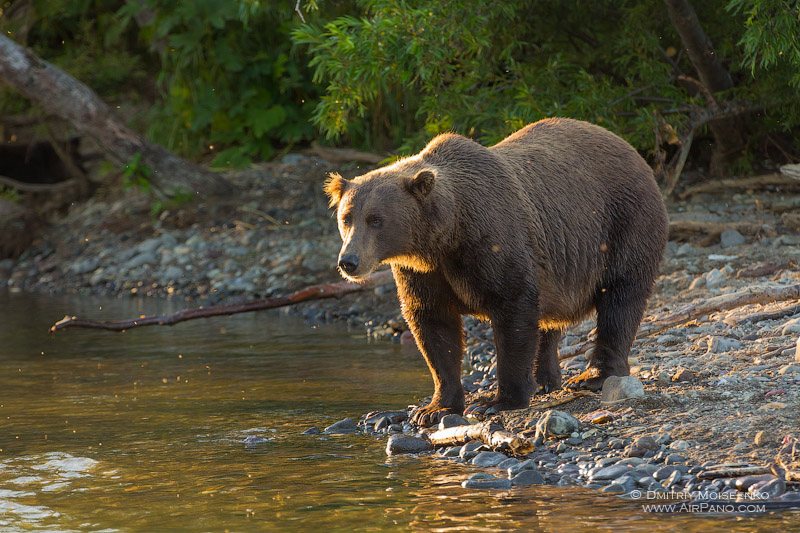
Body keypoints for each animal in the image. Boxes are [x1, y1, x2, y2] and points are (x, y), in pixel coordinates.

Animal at [324, 118, 668, 426]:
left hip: (623, 222)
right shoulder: (423, 271)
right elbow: (433, 325)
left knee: (620, 297)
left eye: (376, 219)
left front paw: (498, 400)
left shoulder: (493, 244)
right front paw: (435, 408)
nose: (348, 261)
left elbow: (513, 309)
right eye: (346, 217)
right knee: (551, 320)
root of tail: (630, 148)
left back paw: (593, 376)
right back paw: (546, 378)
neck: (447, 235)